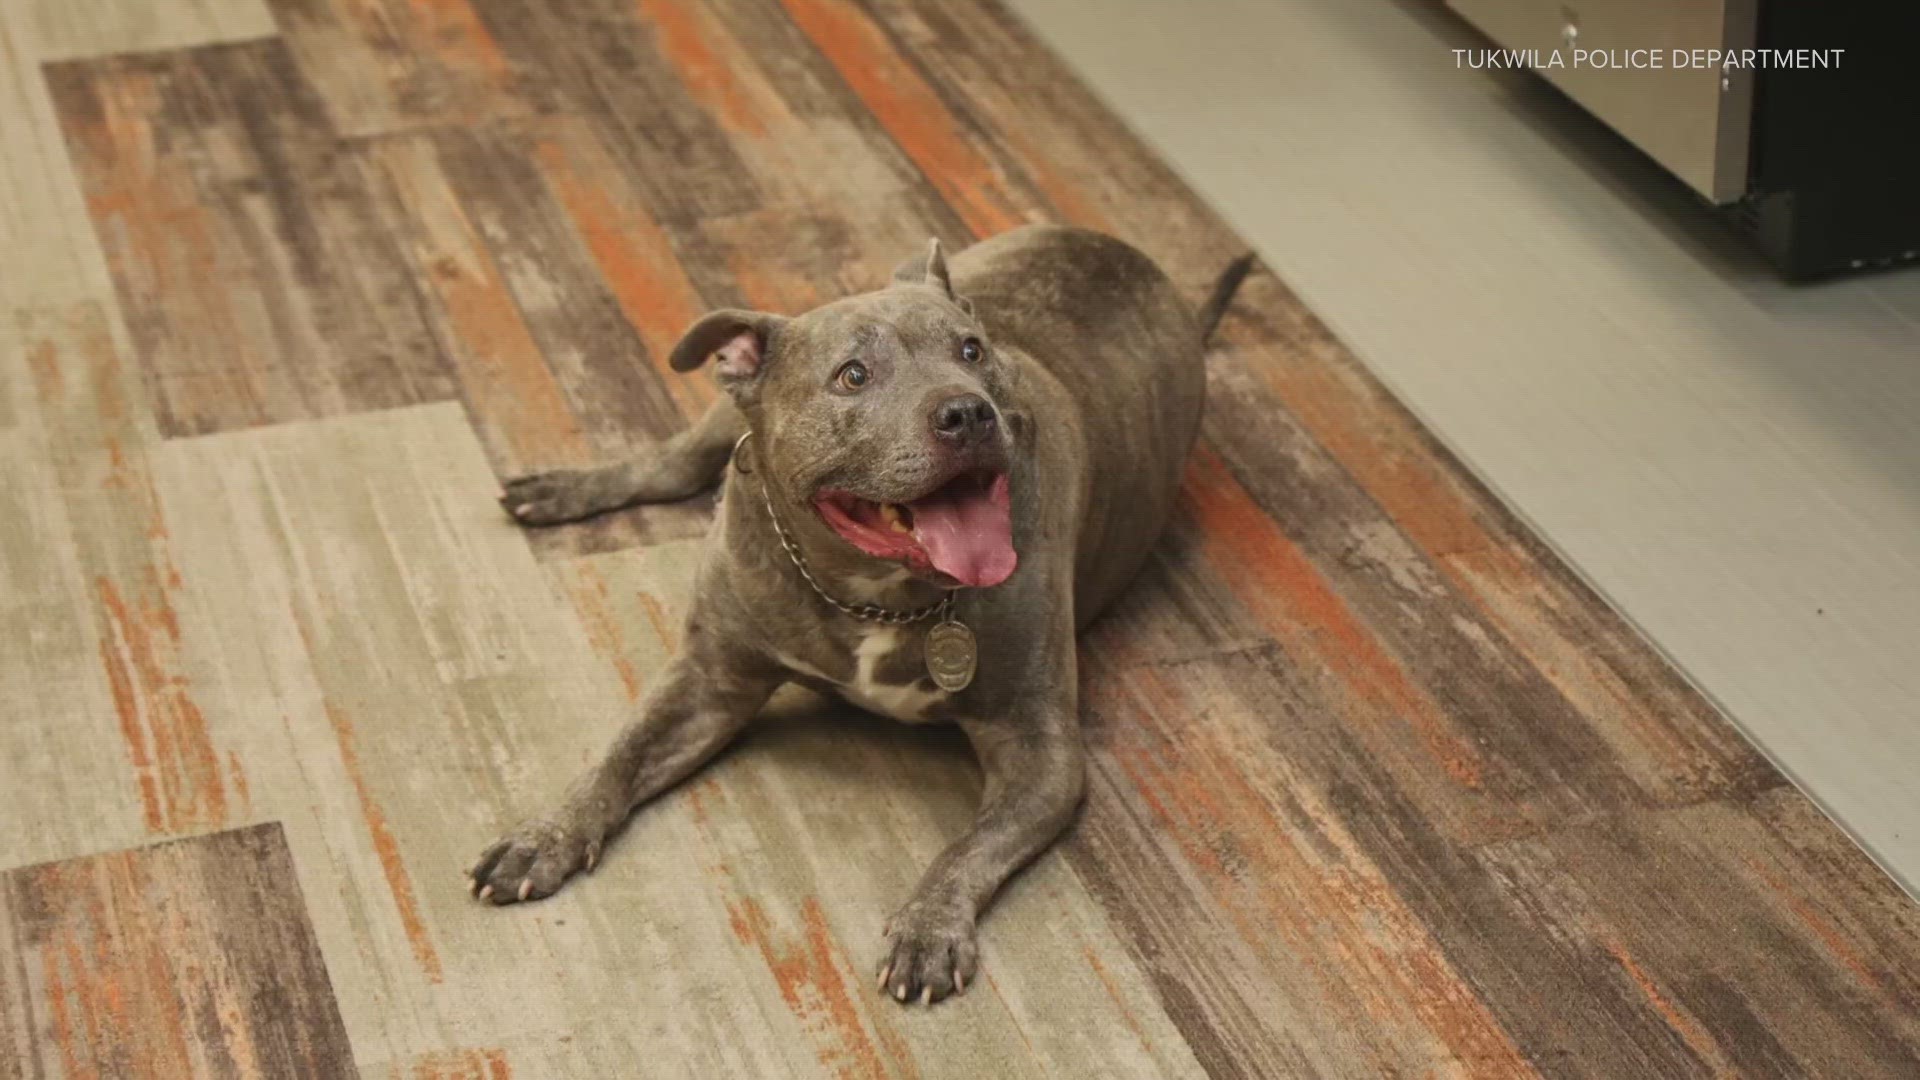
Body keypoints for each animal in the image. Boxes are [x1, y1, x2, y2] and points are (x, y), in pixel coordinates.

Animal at [462, 222, 1244, 1006]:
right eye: (853, 376)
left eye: (971, 352)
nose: (967, 412)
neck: (872, 591)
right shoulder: (710, 682)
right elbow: (614, 759)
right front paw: (546, 835)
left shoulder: (1041, 751)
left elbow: (969, 848)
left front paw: (929, 926)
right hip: (727, 405)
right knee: (673, 462)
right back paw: (565, 488)